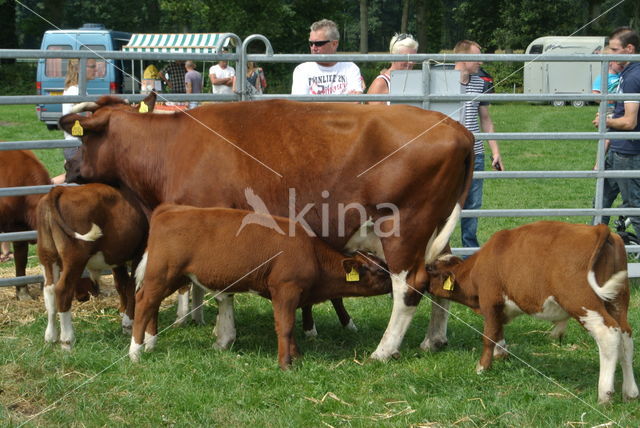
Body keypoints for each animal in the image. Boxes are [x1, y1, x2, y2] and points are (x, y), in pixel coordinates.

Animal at [37, 183, 148, 348]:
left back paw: (50, 336)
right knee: (63, 290)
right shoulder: (138, 253)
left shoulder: (118, 259)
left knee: (49, 290)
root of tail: (60, 189)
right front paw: (128, 322)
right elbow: (131, 287)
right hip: (75, 258)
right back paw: (67, 339)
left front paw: (123, 313)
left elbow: (121, 284)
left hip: (48, 256)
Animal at [129, 206, 390, 370]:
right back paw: (135, 352)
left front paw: (297, 356)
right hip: (161, 274)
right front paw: (286, 364)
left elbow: (290, 328)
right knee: (143, 303)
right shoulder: (284, 289)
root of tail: (171, 209)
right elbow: (285, 326)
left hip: (171, 276)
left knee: (152, 304)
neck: (312, 254)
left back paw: (150, 344)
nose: (395, 281)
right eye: (379, 271)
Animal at [424, 221, 640, 404]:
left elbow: (489, 336)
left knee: (608, 335)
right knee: (625, 337)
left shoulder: (490, 301)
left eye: (431, 270)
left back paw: (605, 393)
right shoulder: (500, 308)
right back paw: (630, 391)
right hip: (618, 302)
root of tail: (598, 229)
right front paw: (501, 355)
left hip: (583, 303)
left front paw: (482, 367)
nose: (423, 285)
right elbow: (498, 332)